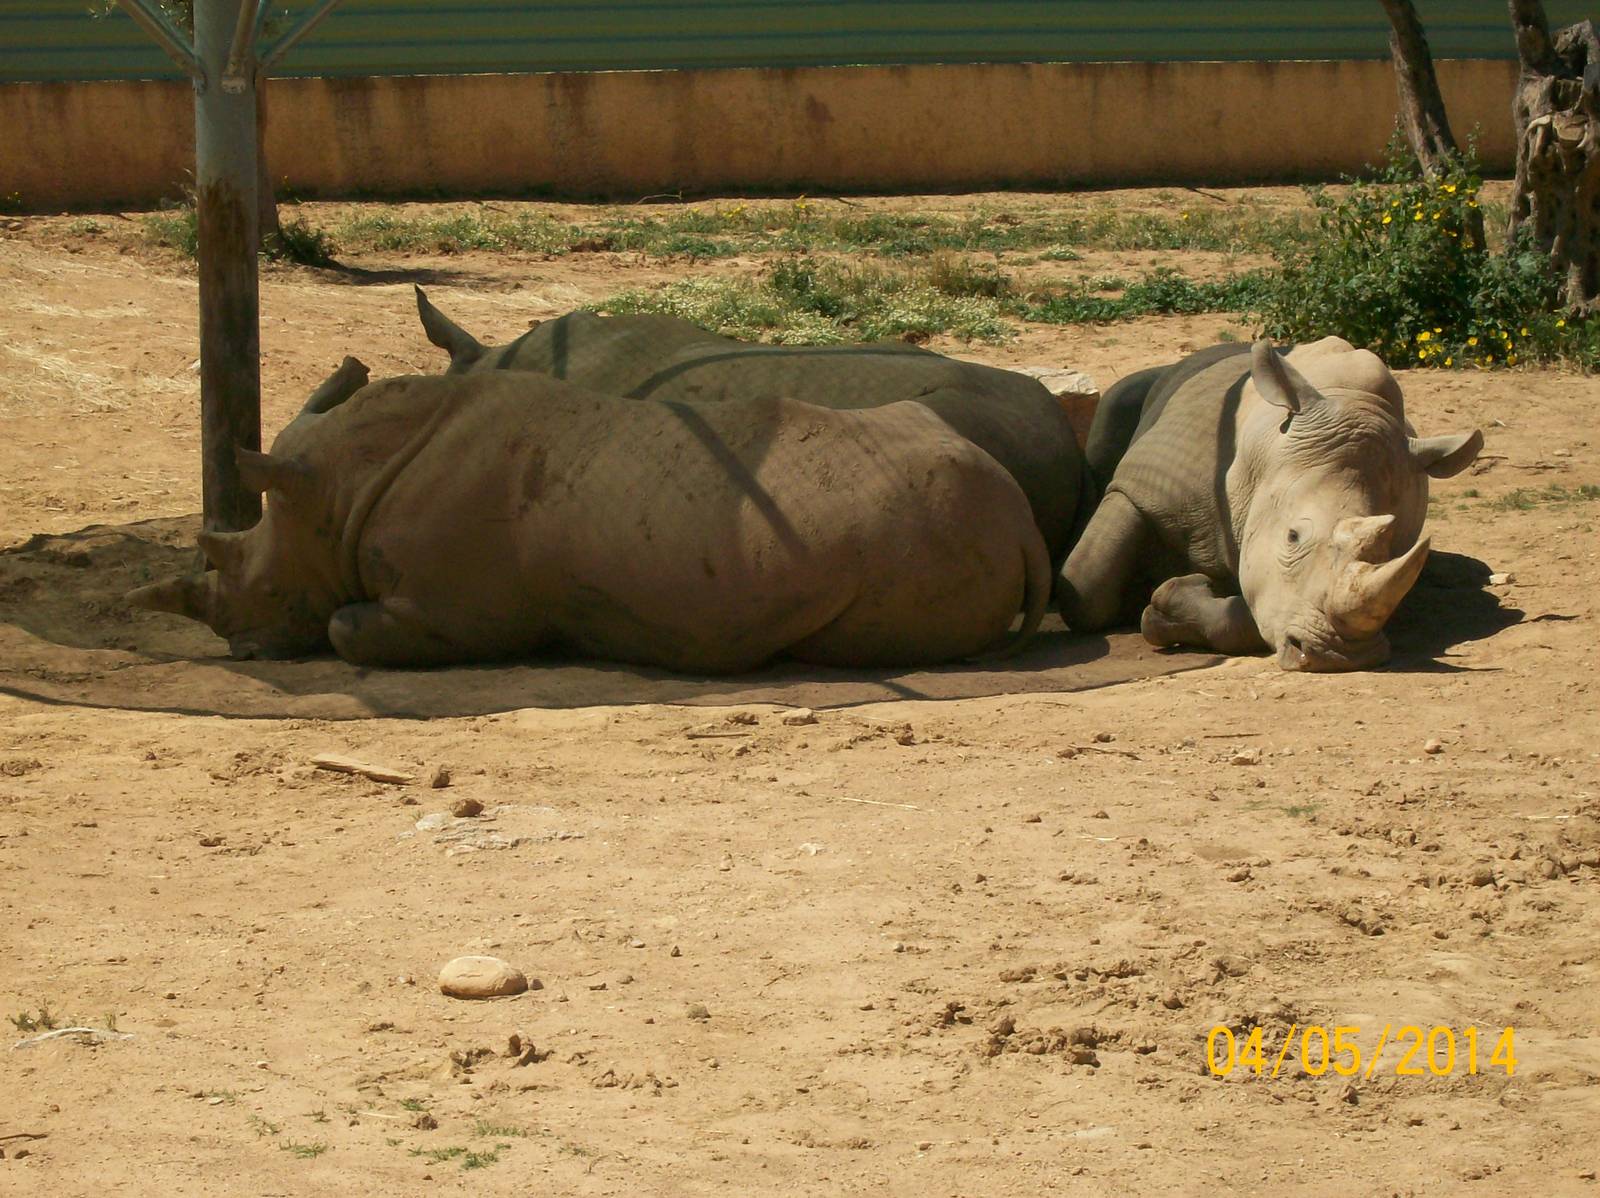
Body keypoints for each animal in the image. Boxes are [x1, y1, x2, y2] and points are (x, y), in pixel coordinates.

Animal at [129, 365, 1049, 672]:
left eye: (261, 588)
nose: (240, 651)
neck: (334, 491)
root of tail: (1025, 519)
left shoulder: (450, 613)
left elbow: (347, 630)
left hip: (920, 532)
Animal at [1058, 337, 1483, 671]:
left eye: (1392, 547)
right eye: (1292, 537)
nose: (1342, 656)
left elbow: (1253, 612)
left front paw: (1171, 598)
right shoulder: (1143, 485)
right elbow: (1084, 589)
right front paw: (1143, 596)